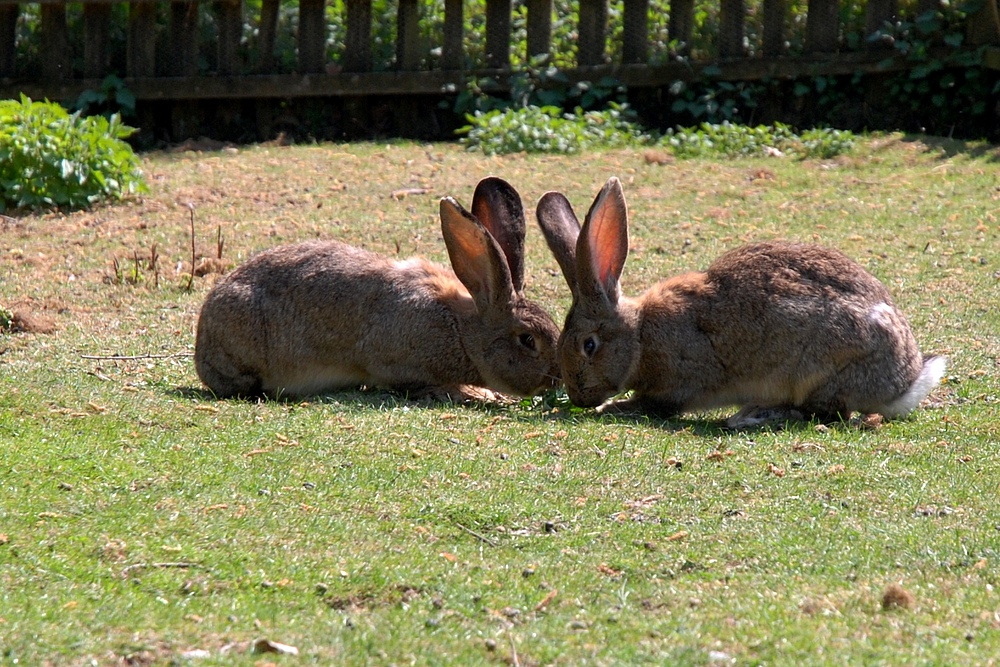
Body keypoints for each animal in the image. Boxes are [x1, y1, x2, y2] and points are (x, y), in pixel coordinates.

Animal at [194, 175, 564, 400]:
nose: (556, 378)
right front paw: (470, 393)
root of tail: (202, 341)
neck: (463, 330)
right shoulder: (398, 366)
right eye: (527, 340)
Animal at [532, 177, 944, 428]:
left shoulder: (679, 382)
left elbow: (653, 404)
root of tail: (904, 381)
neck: (640, 336)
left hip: (822, 367)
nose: (578, 396)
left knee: (828, 413)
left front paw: (609, 407)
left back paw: (754, 415)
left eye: (589, 346)